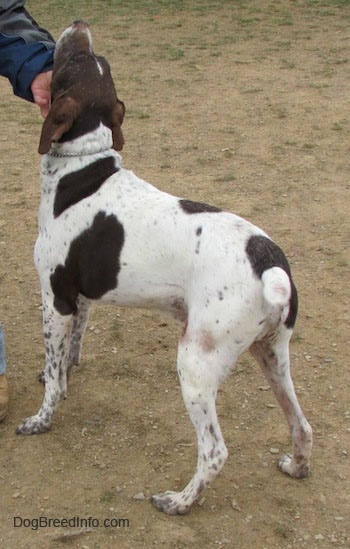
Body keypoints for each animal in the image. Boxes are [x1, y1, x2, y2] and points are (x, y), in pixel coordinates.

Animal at [15, 21, 312, 512]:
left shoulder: (55, 298)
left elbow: (54, 377)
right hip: (271, 354)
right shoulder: (82, 300)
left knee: (214, 451)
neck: (82, 168)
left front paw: (42, 419)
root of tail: (269, 262)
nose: (80, 24)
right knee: (301, 424)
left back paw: (179, 502)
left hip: (195, 364)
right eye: (94, 59)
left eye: (76, 59)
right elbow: (68, 355)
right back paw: (297, 466)